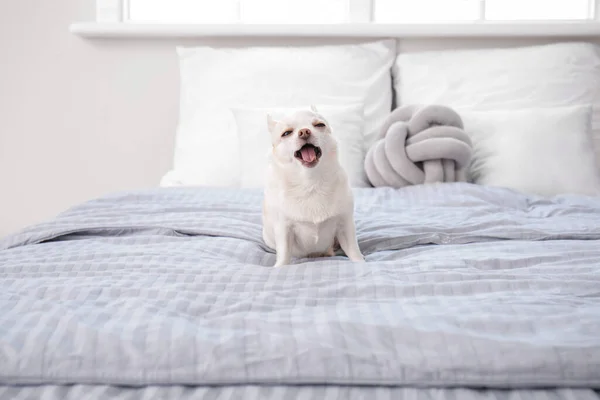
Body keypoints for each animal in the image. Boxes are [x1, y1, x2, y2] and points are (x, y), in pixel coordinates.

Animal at [264, 106, 366, 268]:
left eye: (319, 125)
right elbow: (284, 253)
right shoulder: (283, 229)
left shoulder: (345, 225)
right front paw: (280, 267)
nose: (304, 131)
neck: (310, 182)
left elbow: (353, 249)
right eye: (286, 133)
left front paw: (360, 262)